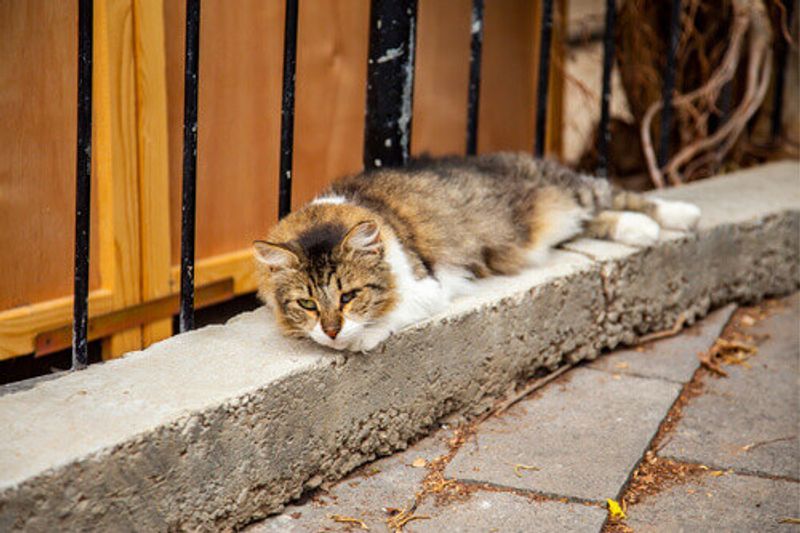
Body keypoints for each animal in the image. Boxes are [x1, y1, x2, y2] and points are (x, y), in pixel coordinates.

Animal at [256, 153, 700, 354]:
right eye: (307, 304)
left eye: (349, 296)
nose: (332, 330)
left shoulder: (427, 286)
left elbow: (387, 316)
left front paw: (356, 338)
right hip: (566, 218)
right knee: (596, 218)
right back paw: (638, 230)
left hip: (578, 190)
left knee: (620, 195)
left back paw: (677, 217)